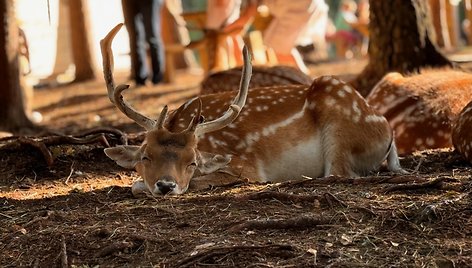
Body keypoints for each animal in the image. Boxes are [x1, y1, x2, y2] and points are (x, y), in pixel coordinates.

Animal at [101, 24, 404, 196]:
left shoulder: (245, 167)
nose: (166, 185)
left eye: (192, 161)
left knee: (339, 173)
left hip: (342, 130)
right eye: (145, 156)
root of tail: (388, 131)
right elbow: (135, 183)